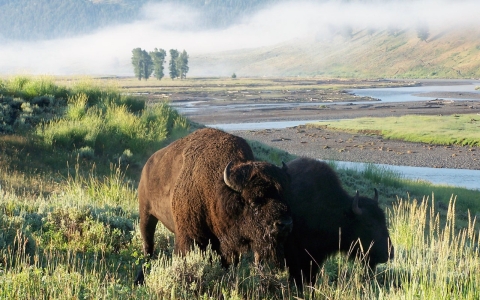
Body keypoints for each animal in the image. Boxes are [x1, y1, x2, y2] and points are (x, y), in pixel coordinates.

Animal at [134, 127, 292, 284]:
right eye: (254, 202)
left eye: (284, 197)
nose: (284, 225)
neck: (218, 190)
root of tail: (147, 165)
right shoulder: (188, 237)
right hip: (146, 214)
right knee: (148, 245)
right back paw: (140, 278)